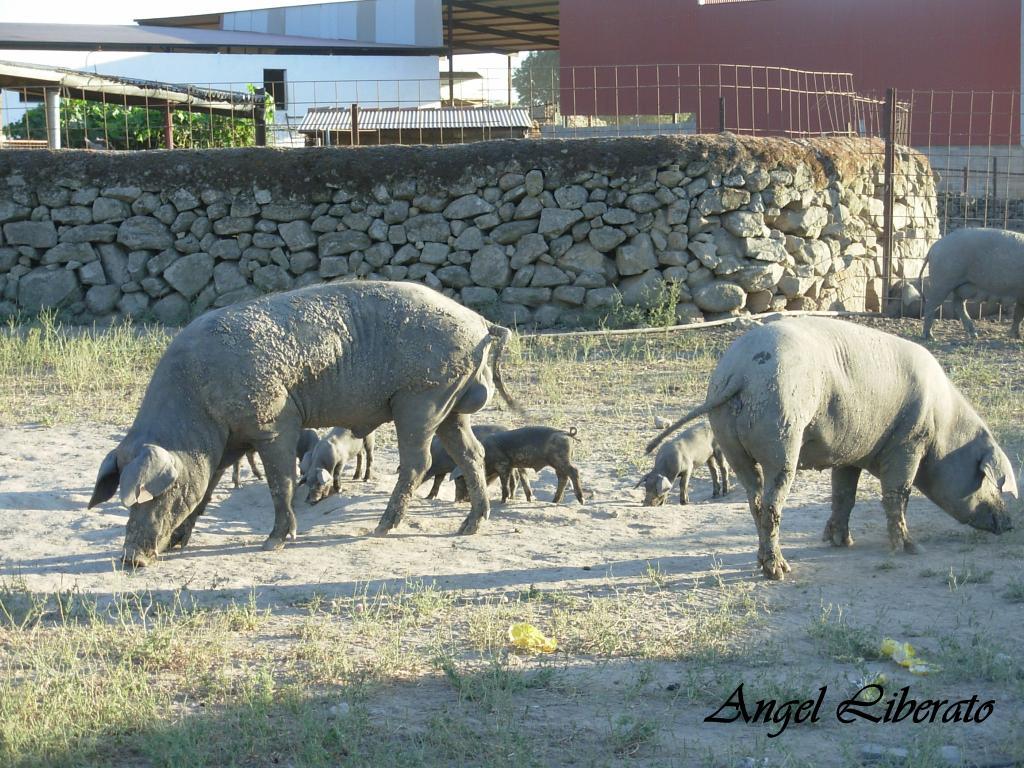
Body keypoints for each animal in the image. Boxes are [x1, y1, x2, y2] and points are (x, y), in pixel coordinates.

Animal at [87, 282, 516, 565]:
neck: (197, 404)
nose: (130, 559)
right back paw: (470, 525)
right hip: (451, 407)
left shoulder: (273, 422)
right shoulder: (230, 441)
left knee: (418, 462)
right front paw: (179, 542)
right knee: (471, 453)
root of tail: (480, 322)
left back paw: (382, 527)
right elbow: (207, 488)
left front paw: (274, 542)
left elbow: (281, 482)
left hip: (421, 399)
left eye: (157, 492)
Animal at [647, 315, 1015, 581]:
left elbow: (843, 496)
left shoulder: (849, 454)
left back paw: (764, 561)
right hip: (782, 433)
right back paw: (779, 571)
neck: (943, 428)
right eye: (991, 481)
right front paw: (911, 549)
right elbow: (898, 494)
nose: (1010, 524)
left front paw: (841, 543)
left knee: (755, 501)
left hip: (731, 440)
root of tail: (740, 371)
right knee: (772, 504)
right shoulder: (909, 443)